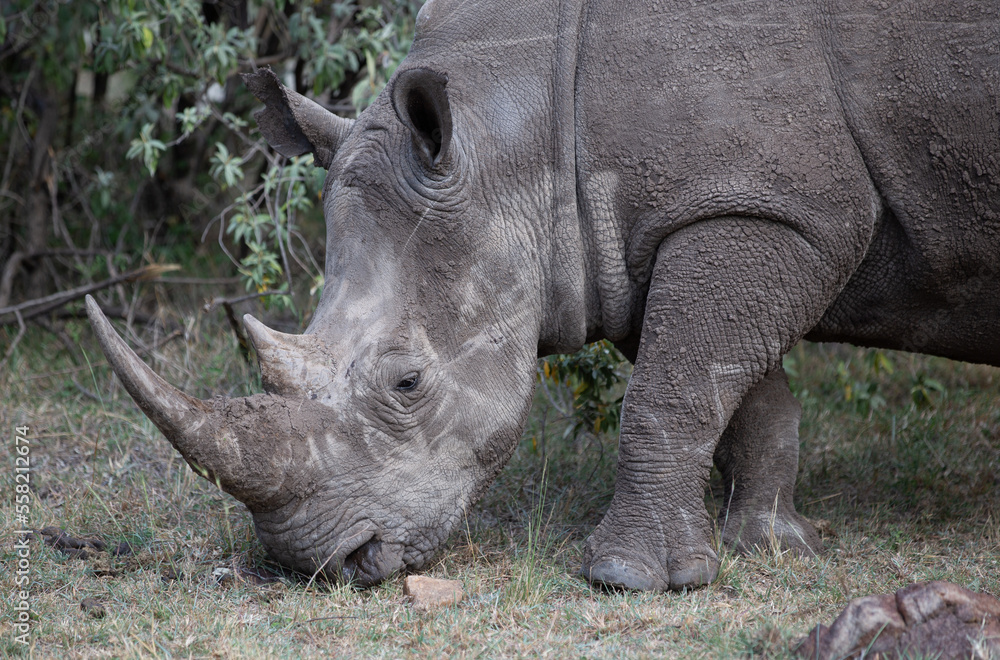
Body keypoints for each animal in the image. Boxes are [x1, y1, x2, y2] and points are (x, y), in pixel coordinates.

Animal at [87, 0, 998, 592]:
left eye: (407, 383)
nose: (318, 563)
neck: (525, 127)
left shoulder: (772, 206)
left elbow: (669, 390)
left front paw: (629, 580)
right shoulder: (649, 231)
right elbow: (732, 390)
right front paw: (772, 546)